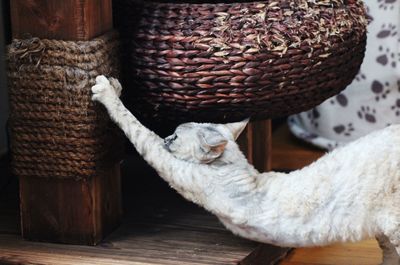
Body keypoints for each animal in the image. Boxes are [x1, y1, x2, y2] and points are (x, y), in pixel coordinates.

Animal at [92, 75, 400, 264]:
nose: (168, 137)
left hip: (394, 222)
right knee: (388, 253)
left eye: (176, 136)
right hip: (384, 230)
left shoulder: (175, 169)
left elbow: (138, 131)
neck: (237, 167)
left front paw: (107, 91)